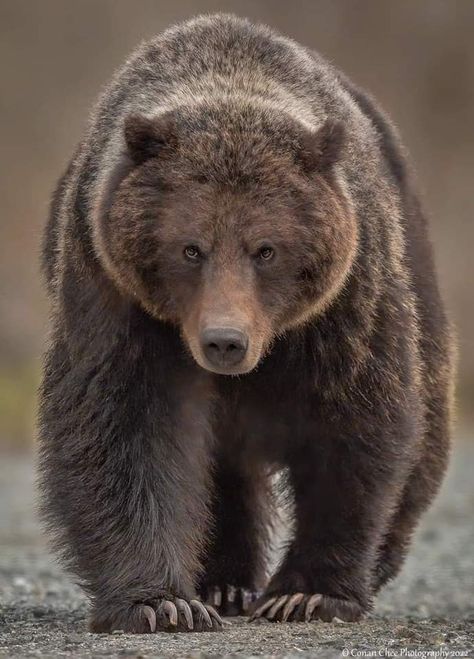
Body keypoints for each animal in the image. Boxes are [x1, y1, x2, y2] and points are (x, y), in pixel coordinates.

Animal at [37, 14, 452, 636]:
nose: (225, 342)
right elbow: (124, 425)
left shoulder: (346, 299)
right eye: (190, 248)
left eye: (266, 249)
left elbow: (356, 423)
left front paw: (307, 594)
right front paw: (161, 603)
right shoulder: (115, 293)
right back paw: (222, 583)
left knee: (424, 432)